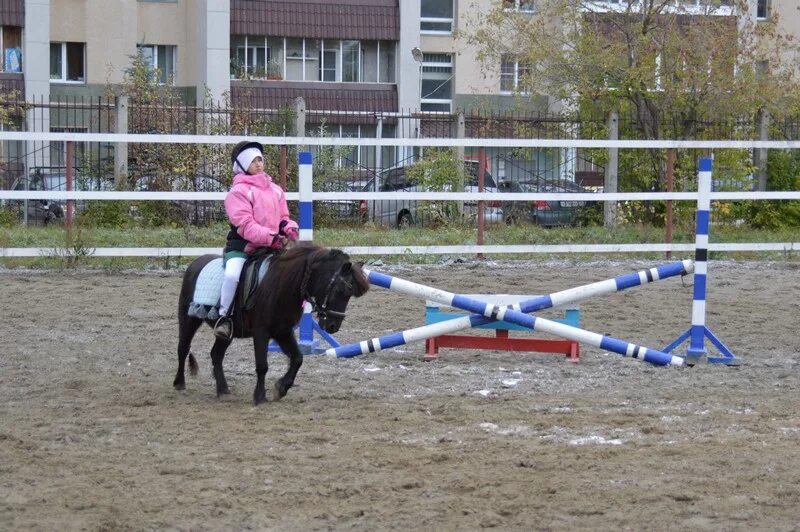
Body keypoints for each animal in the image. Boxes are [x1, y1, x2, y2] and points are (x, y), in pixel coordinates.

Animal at [173, 244, 369, 404]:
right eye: (341, 289)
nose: (333, 326)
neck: (282, 285)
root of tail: (196, 262)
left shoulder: (283, 331)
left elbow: (298, 358)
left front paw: (281, 388)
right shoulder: (261, 332)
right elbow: (262, 365)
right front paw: (260, 396)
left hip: (227, 334)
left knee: (216, 354)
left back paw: (223, 390)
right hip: (188, 319)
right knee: (183, 348)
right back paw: (179, 383)